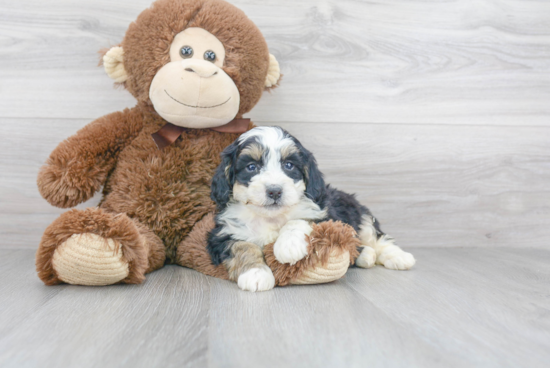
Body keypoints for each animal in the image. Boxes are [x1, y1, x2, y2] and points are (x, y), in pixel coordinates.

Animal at [209, 128, 416, 292]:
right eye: (251, 167)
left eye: (289, 165)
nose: (274, 191)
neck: (271, 218)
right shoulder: (222, 234)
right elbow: (242, 247)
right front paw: (256, 273)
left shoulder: (326, 216)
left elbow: (300, 219)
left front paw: (289, 245)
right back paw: (365, 255)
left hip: (359, 215)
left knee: (378, 239)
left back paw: (399, 257)